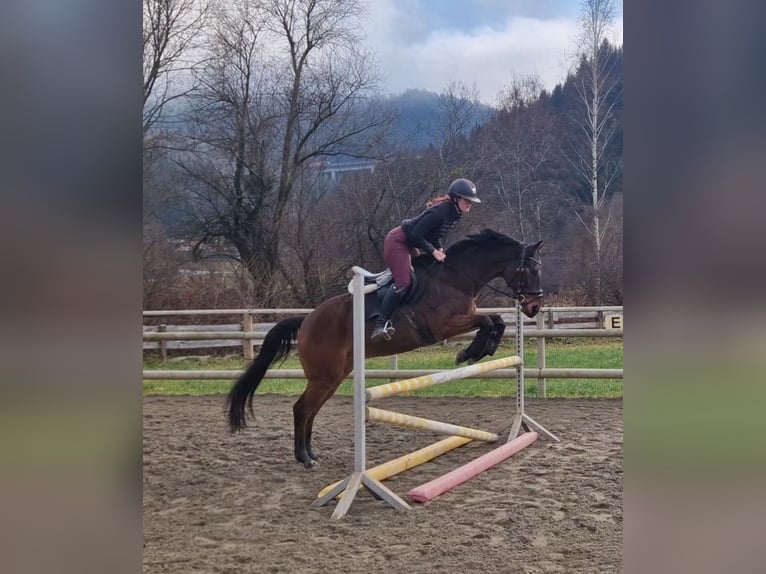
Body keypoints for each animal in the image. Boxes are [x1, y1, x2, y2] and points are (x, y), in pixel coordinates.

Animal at [227, 228, 544, 468]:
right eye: (530, 268)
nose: (534, 307)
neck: (455, 279)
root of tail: (306, 320)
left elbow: (496, 321)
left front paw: (483, 350)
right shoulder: (444, 325)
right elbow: (488, 320)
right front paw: (470, 352)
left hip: (335, 375)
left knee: (312, 409)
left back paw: (311, 453)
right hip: (324, 375)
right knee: (302, 408)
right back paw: (304, 458)